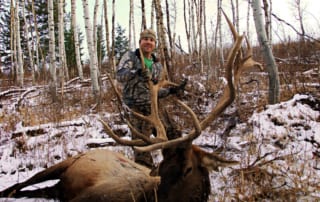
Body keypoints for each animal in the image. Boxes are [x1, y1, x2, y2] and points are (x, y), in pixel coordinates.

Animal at [0, 12, 262, 202]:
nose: (158, 199)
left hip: (57, 185)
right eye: (160, 168)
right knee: (21, 183)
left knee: (34, 190)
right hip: (64, 163)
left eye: (188, 169)